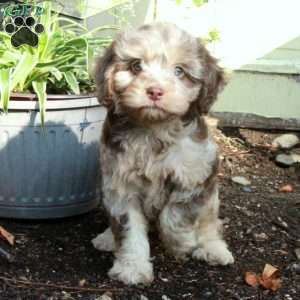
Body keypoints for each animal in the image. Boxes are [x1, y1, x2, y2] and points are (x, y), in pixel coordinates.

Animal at [91, 22, 234, 284]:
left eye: (179, 71)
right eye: (136, 66)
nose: (155, 91)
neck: (153, 129)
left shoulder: (196, 174)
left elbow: (177, 213)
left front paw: (181, 243)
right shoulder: (120, 184)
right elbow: (128, 229)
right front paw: (132, 268)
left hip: (212, 199)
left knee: (209, 223)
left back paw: (212, 248)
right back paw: (107, 238)